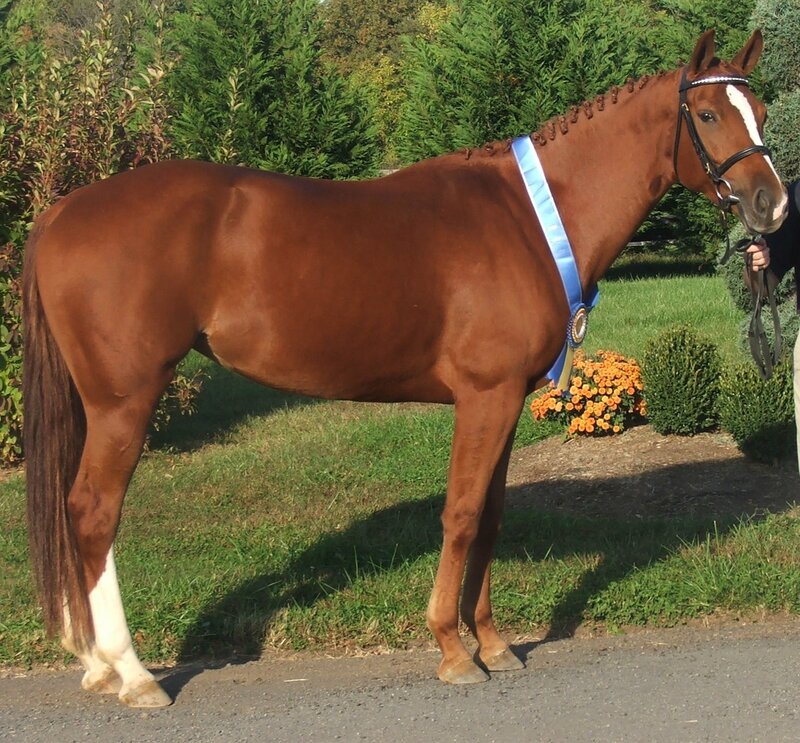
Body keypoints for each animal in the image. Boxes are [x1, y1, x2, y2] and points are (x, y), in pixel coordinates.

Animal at [22, 29, 786, 707]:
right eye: (708, 113)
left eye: (761, 108)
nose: (771, 203)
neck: (528, 219)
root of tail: (60, 213)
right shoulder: (483, 397)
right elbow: (462, 513)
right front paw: (452, 649)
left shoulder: (508, 400)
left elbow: (492, 516)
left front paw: (493, 642)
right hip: (125, 400)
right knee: (93, 512)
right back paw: (132, 673)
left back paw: (97, 664)